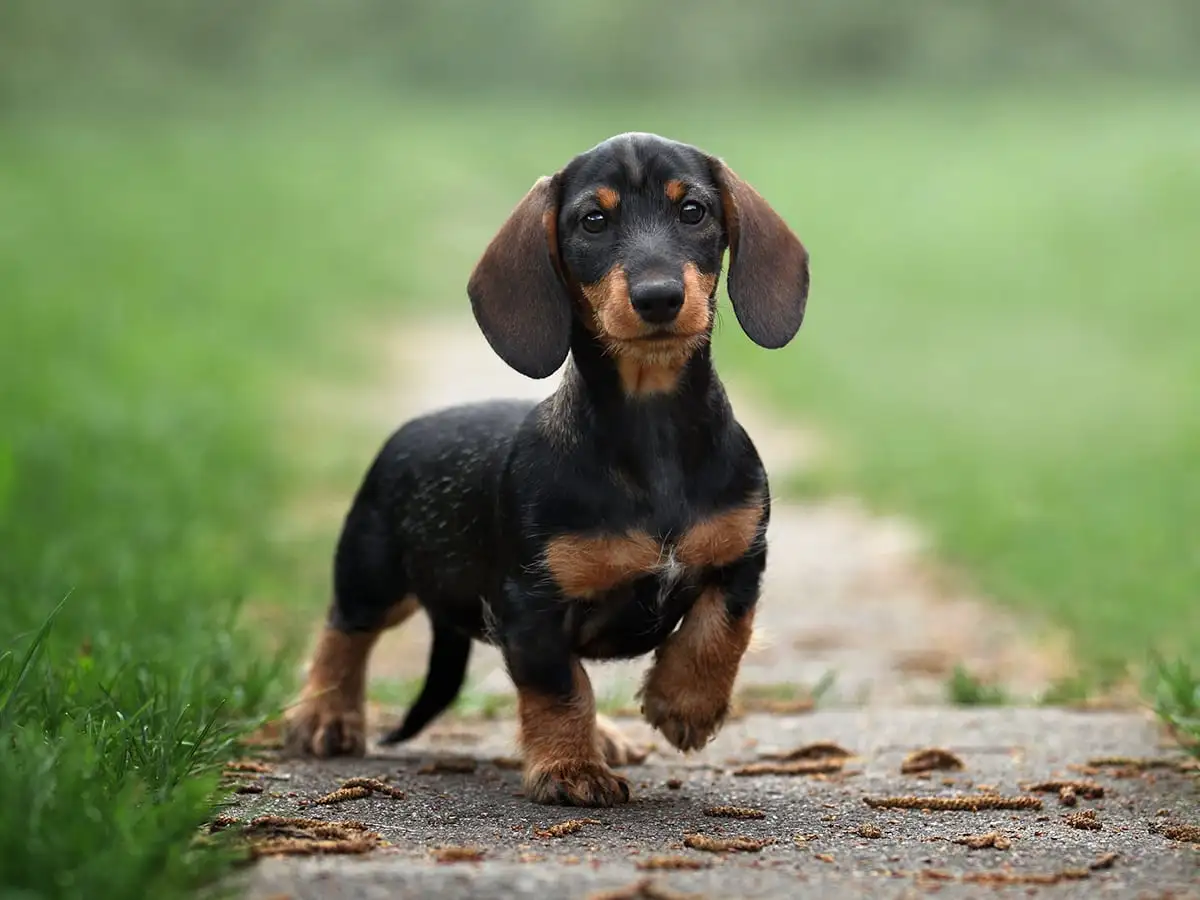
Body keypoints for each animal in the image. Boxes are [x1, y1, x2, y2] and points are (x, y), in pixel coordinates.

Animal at [283, 128, 806, 811]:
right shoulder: (530, 606)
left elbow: (722, 629)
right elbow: (560, 687)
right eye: (593, 221)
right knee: (342, 631)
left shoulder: (742, 556)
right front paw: (569, 767)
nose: (659, 297)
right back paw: (325, 714)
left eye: (693, 211)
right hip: (375, 574)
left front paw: (683, 704)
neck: (652, 430)